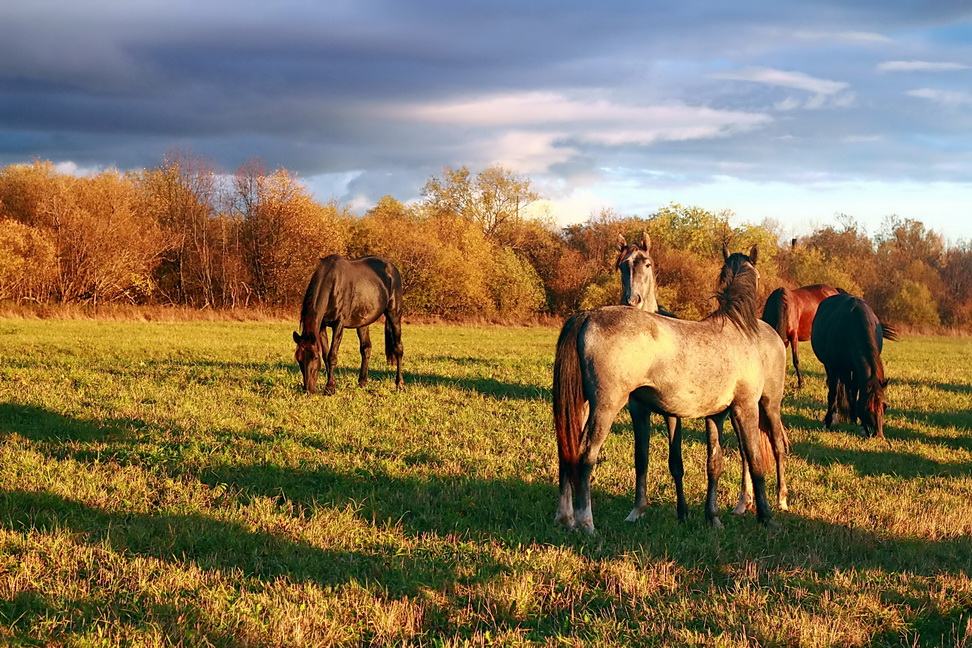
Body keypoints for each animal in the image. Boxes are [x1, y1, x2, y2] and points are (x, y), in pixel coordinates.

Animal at [292, 254, 406, 394]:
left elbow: (332, 355)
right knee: (366, 348)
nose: (309, 389)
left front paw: (330, 387)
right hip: (363, 321)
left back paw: (399, 384)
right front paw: (331, 384)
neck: (332, 283)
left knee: (398, 348)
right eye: (299, 359)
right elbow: (326, 355)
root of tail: (392, 268)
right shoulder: (322, 326)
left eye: (314, 358)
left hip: (394, 314)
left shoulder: (339, 323)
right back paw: (362, 382)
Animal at [556, 243, 788, 532]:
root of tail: (588, 315)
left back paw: (565, 518)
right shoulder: (745, 407)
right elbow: (755, 462)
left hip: (582, 406)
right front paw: (766, 518)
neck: (739, 330)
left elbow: (716, 462)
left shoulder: (716, 414)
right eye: (758, 275)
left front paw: (713, 517)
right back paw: (586, 523)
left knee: (567, 451)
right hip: (607, 406)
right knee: (585, 454)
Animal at [812, 294, 896, 440]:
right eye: (867, 407)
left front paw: (857, 423)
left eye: (884, 406)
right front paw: (828, 422)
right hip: (834, 367)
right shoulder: (834, 366)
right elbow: (833, 392)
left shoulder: (856, 369)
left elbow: (854, 390)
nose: (879, 435)